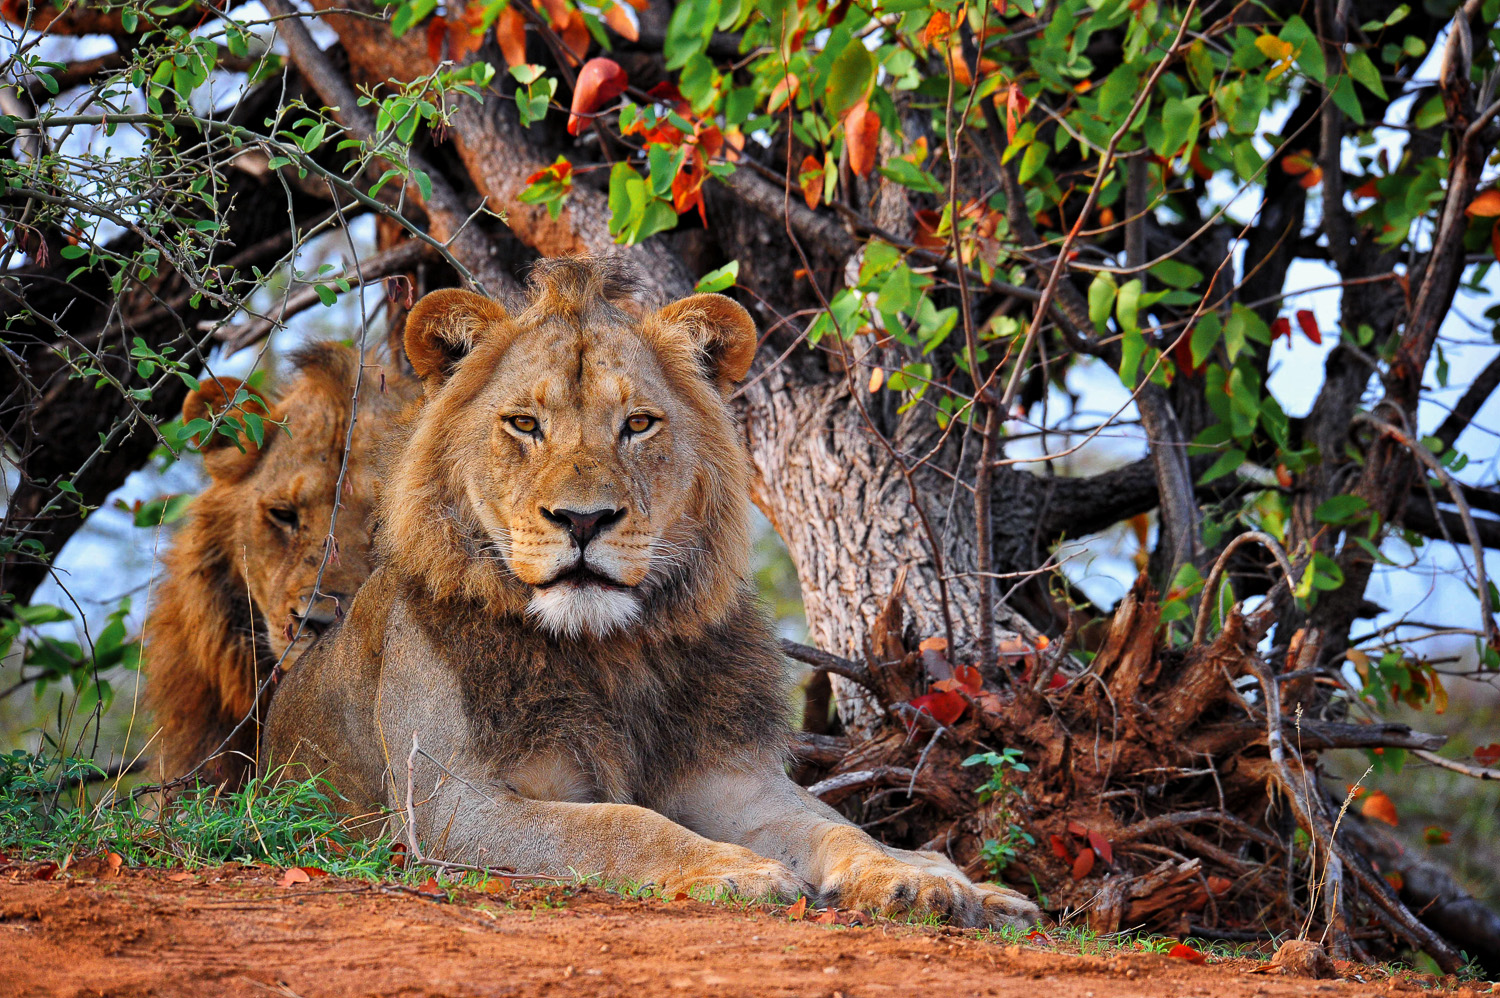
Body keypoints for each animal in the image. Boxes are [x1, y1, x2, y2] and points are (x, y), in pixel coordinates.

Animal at [263, 260, 1040, 927]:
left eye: (638, 423)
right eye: (524, 424)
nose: (583, 520)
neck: (607, 649)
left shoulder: (734, 779)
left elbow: (836, 831)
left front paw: (905, 879)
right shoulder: (447, 803)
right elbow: (621, 823)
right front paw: (736, 869)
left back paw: (979, 891)